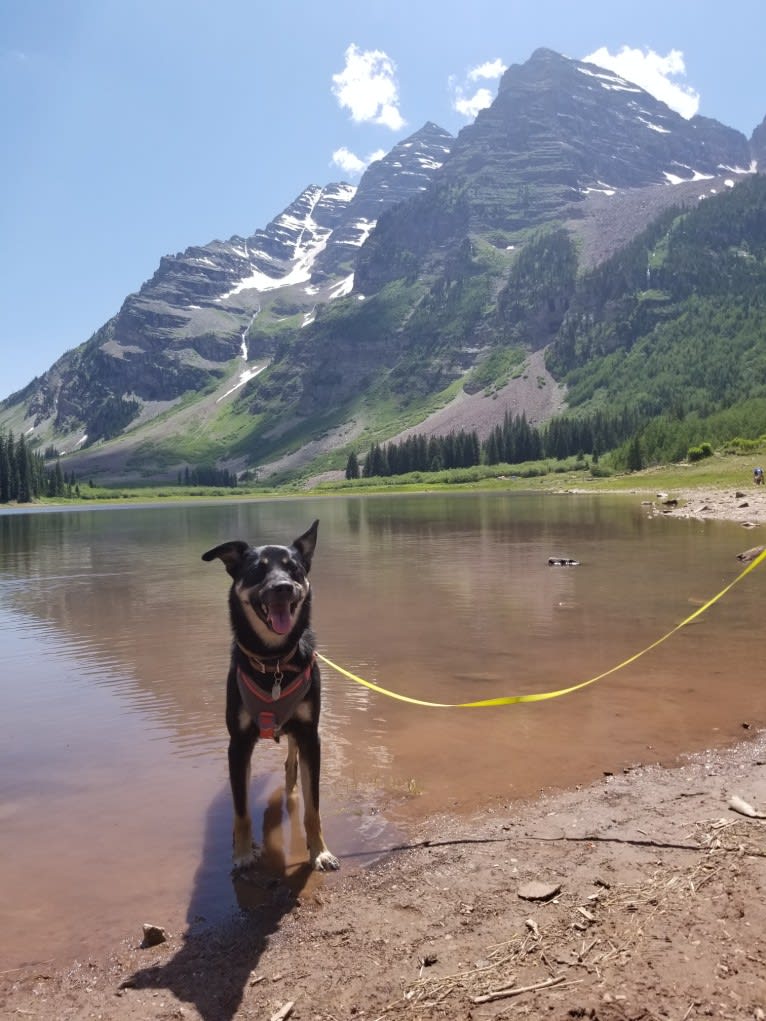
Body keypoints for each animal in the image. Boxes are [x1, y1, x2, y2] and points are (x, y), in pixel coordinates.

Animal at [204, 526, 339, 869]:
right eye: (257, 570)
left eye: (295, 569)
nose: (283, 588)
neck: (274, 661)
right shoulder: (238, 744)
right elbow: (241, 810)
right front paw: (241, 854)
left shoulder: (310, 735)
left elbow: (313, 806)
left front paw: (320, 851)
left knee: (291, 765)